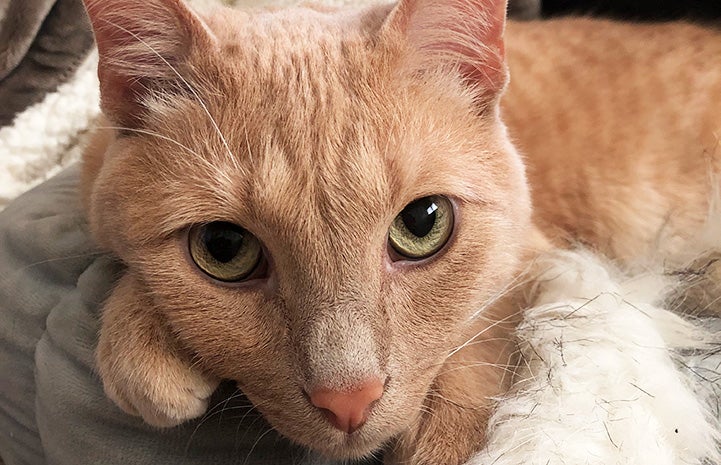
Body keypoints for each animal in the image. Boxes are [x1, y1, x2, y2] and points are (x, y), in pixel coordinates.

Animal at [79, 0, 720, 462]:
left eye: (422, 224)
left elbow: (485, 322)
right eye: (223, 248)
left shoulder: (542, 254)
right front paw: (137, 339)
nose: (347, 400)